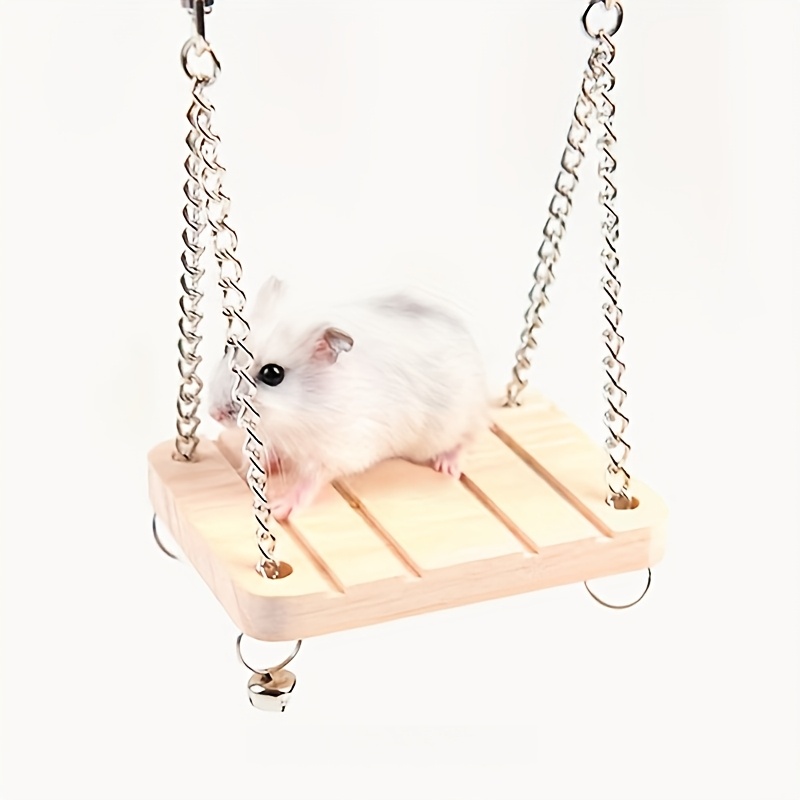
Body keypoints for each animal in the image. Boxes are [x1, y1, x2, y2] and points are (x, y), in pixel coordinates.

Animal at [208, 275, 491, 520]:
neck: (297, 417)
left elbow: (310, 481)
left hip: (455, 420)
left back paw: (447, 466)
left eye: (272, 374)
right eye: (228, 349)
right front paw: (246, 468)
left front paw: (280, 509)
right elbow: (269, 451)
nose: (213, 414)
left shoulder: (337, 452)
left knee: (469, 437)